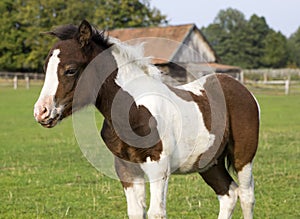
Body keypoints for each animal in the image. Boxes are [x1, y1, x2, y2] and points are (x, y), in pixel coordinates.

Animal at [32, 20, 258, 219]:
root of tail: (241, 88)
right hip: (208, 161)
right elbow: (136, 211)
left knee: (246, 195)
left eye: (70, 70)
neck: (133, 110)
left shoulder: (159, 166)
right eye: (45, 68)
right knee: (229, 194)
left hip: (243, 157)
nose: (41, 112)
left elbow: (156, 212)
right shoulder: (126, 168)